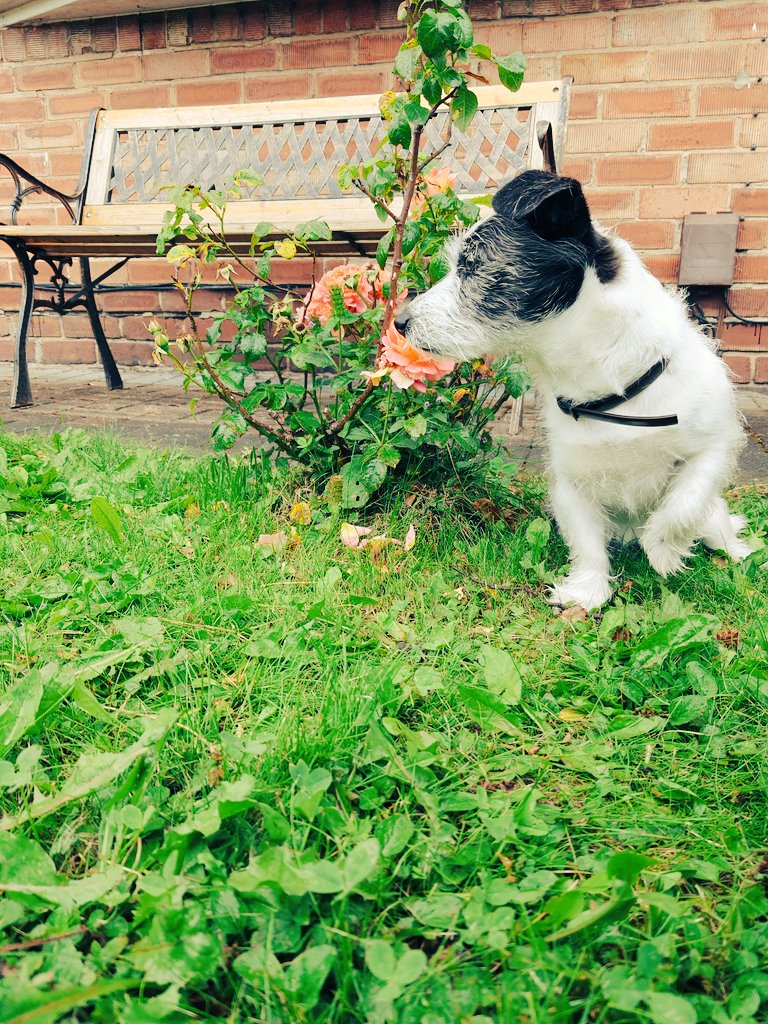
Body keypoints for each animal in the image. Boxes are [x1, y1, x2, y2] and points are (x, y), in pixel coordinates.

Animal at [397, 172, 753, 610]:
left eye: (472, 267)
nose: (399, 322)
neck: (613, 396)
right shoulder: (570, 483)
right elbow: (585, 542)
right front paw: (587, 591)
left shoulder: (713, 448)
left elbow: (684, 503)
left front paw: (663, 550)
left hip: (715, 516)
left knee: (717, 524)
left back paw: (735, 552)